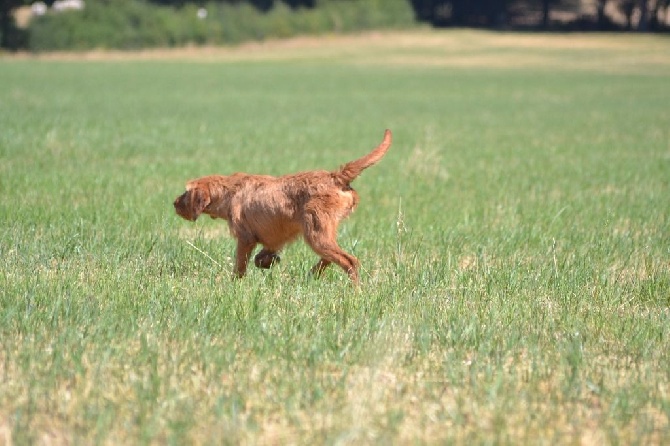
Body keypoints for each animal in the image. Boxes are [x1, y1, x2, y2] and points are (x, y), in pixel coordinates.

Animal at [175, 129, 394, 284]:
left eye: (186, 192)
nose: (174, 203)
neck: (229, 191)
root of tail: (335, 176)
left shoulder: (245, 238)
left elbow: (240, 266)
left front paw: (234, 285)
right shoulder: (273, 238)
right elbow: (262, 256)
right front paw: (268, 261)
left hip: (316, 234)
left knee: (349, 261)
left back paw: (356, 291)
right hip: (323, 233)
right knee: (331, 258)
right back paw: (313, 274)